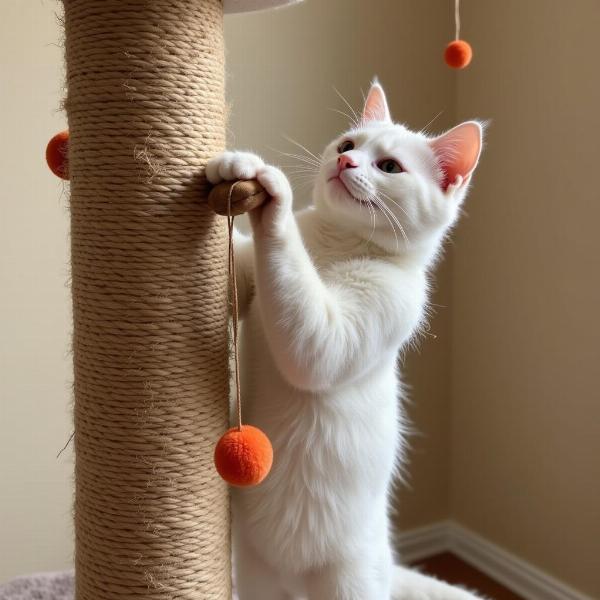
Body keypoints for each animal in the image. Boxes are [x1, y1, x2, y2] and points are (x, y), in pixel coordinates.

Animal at [209, 81, 486, 600]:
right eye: (348, 144)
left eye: (390, 167)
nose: (345, 162)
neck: (334, 244)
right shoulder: (250, 276)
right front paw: (236, 165)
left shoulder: (337, 335)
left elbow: (306, 324)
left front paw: (273, 190)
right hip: (257, 580)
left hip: (350, 582)